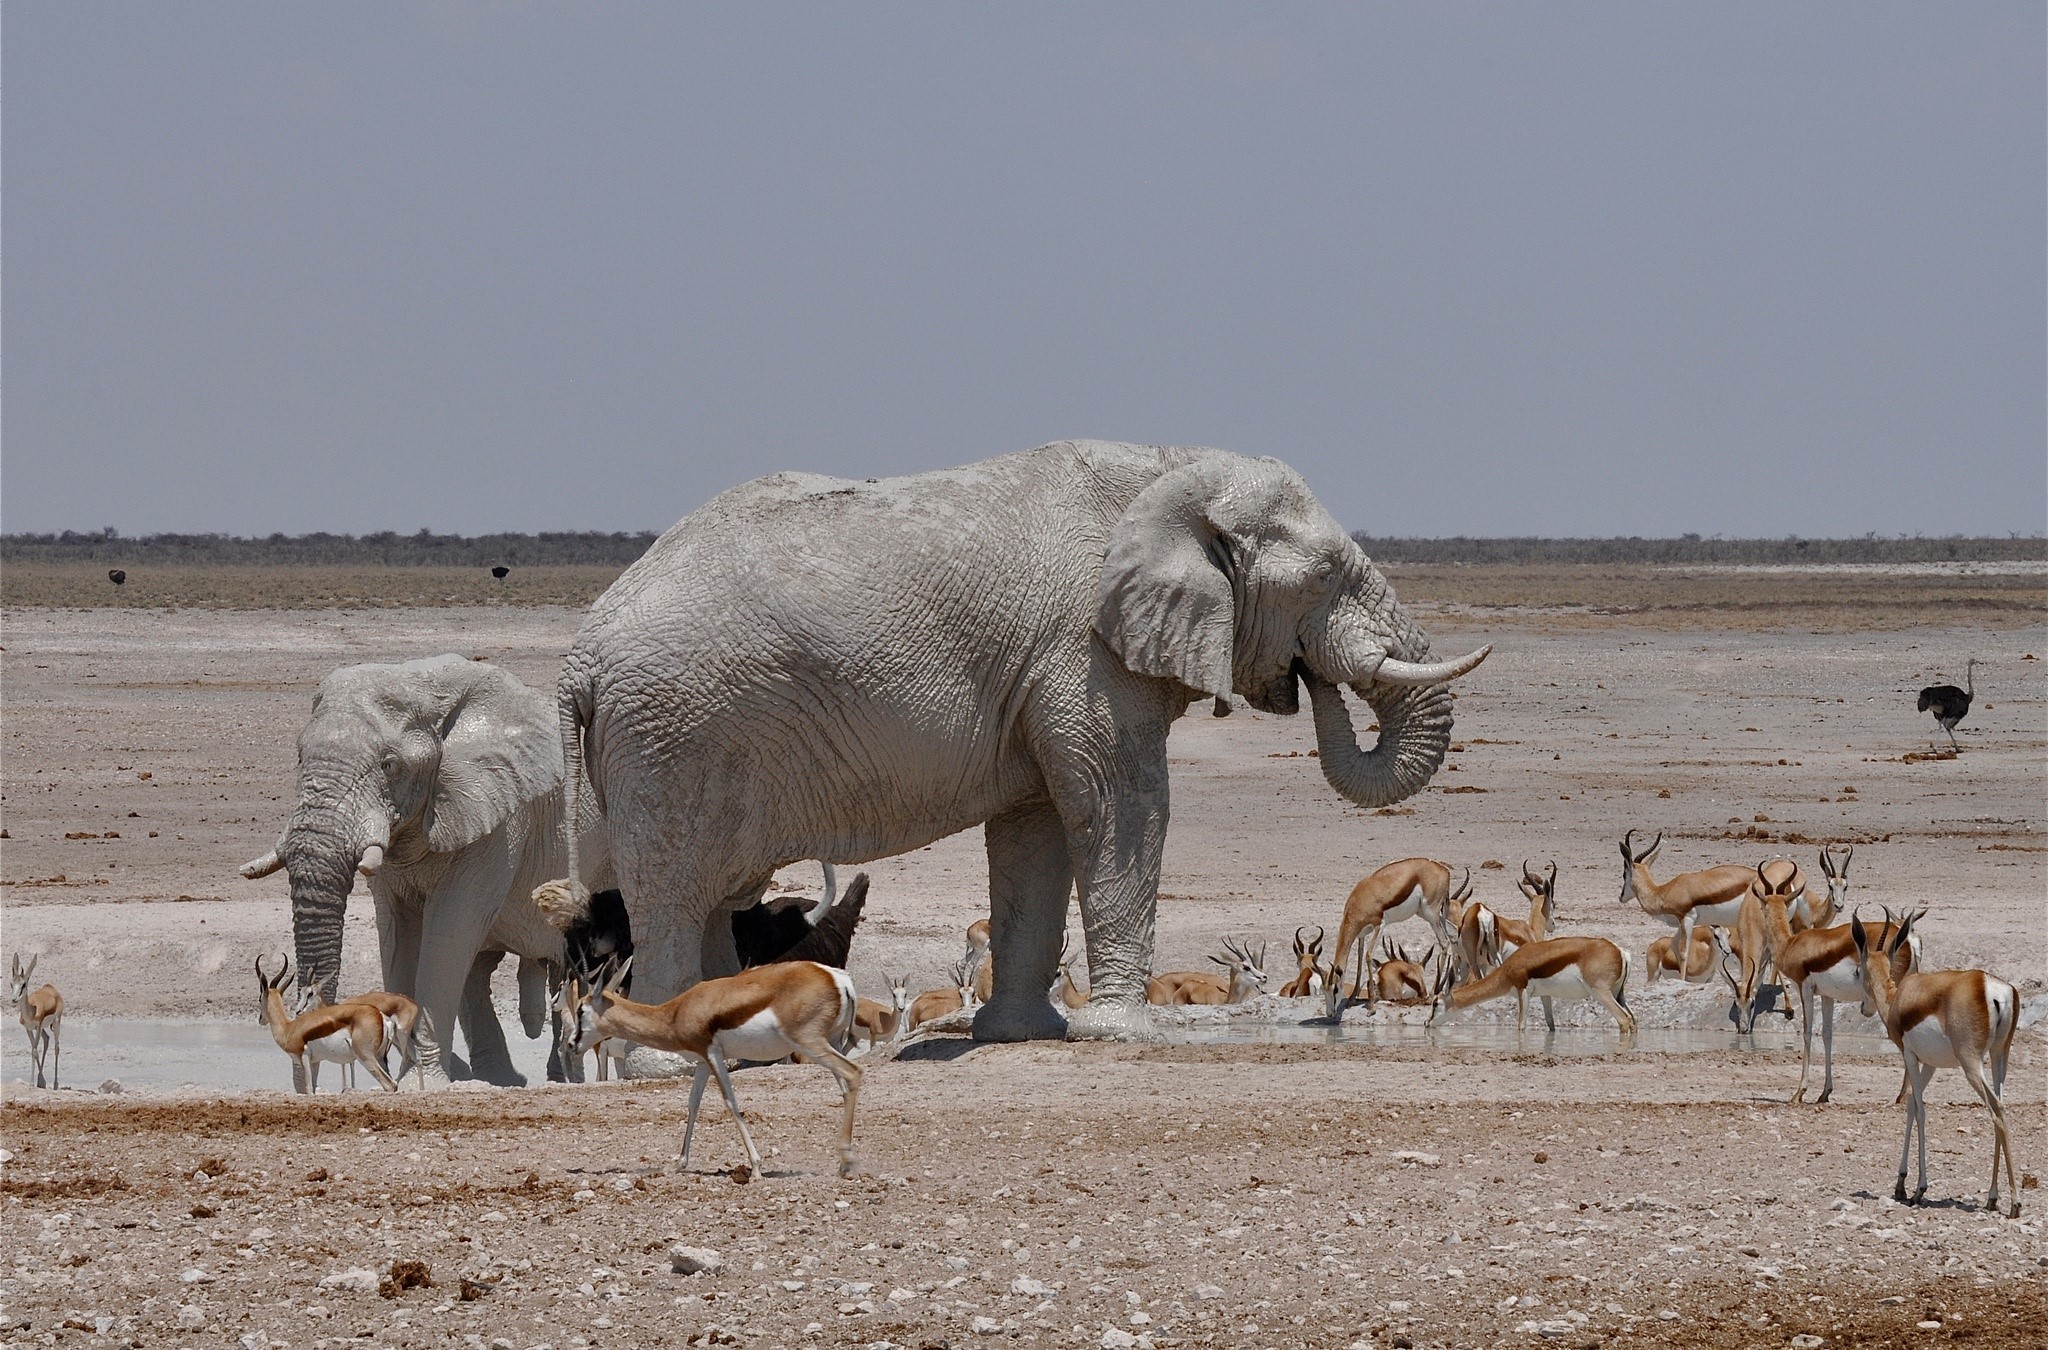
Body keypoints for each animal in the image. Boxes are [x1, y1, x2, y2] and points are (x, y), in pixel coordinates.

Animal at [241, 655, 608, 1085]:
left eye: (389, 765)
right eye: (299, 756)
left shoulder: (499, 818)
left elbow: (449, 930)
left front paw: (425, 1081)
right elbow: (399, 935)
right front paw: (410, 1074)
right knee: (480, 973)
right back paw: (499, 1079)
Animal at [547, 440, 1488, 1050]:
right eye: (1324, 577)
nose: (1309, 677)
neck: (1171, 464)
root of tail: (580, 658)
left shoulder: (1042, 671)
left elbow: (1036, 830)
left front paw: (1024, 1034)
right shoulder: (1084, 651)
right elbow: (1120, 806)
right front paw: (1119, 1032)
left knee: (708, 897)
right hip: (672, 739)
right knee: (674, 895)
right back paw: (662, 1056)